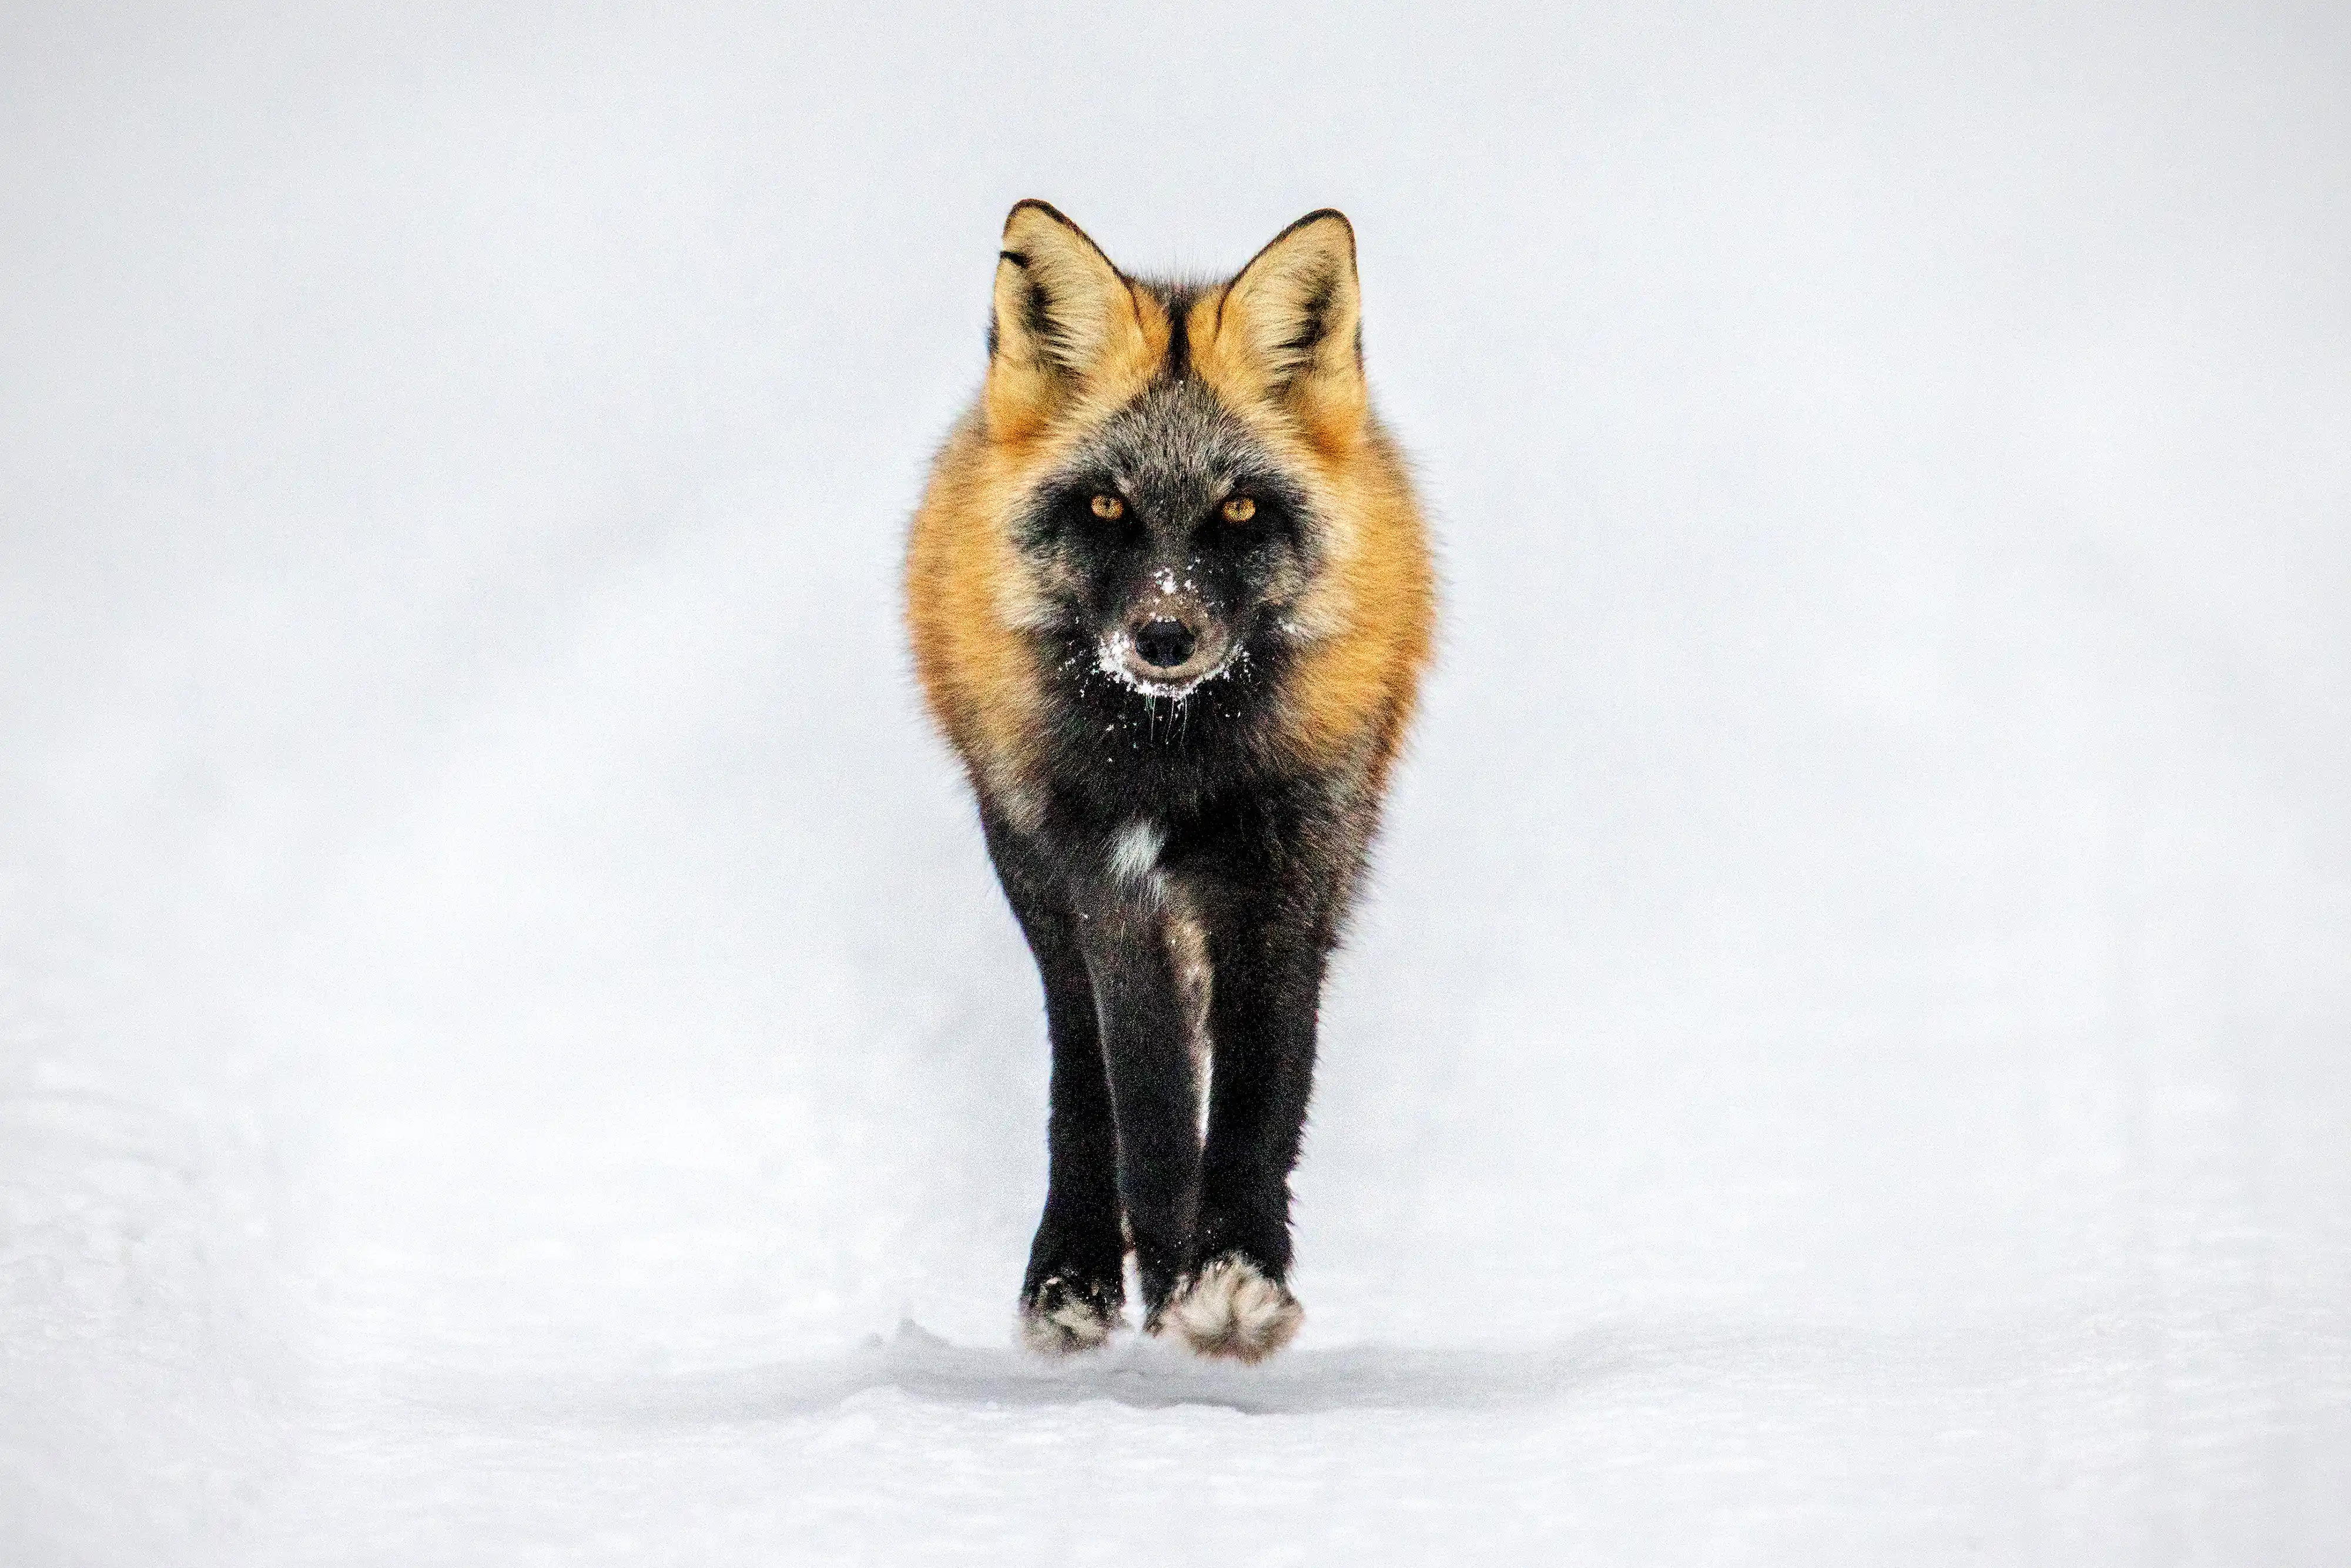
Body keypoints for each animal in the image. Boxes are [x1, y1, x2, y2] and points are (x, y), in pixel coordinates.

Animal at [905, 201, 1436, 1363]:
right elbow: (1141, 1094)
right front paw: (1163, 1270)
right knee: (1077, 1072)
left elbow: (1258, 1094)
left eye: (1239, 513)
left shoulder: (1288, 879)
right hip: (1031, 877)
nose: (1162, 635)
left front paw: (1234, 1273)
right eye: (1107, 507)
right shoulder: (1107, 883)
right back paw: (1076, 1269)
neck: (1173, 762)